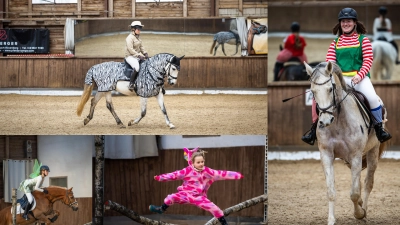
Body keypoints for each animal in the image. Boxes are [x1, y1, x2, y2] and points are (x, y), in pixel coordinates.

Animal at [304, 60, 386, 224]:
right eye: (313, 92)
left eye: (330, 89)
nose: (325, 121)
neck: (338, 122)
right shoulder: (327, 155)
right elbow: (331, 191)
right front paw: (331, 220)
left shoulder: (356, 156)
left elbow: (353, 193)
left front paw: (359, 214)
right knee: (359, 181)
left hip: (373, 152)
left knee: (367, 183)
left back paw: (364, 211)